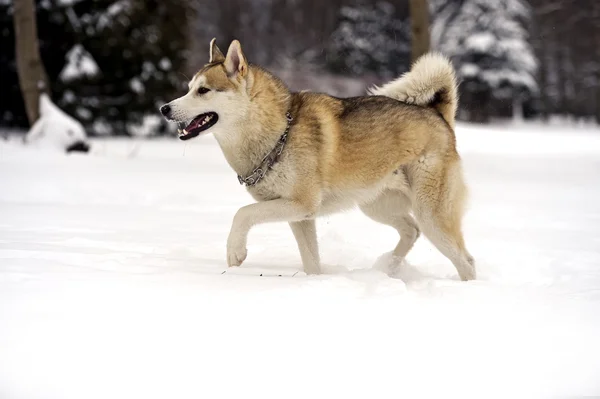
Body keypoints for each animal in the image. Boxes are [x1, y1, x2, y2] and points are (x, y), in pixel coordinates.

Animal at [162, 39, 476, 280]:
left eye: (203, 90)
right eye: (189, 88)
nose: (165, 108)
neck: (278, 134)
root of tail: (437, 114)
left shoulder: (301, 205)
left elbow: (242, 213)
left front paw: (235, 252)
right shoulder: (300, 216)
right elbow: (311, 261)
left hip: (431, 214)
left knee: (465, 260)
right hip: (375, 205)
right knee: (411, 231)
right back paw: (389, 266)